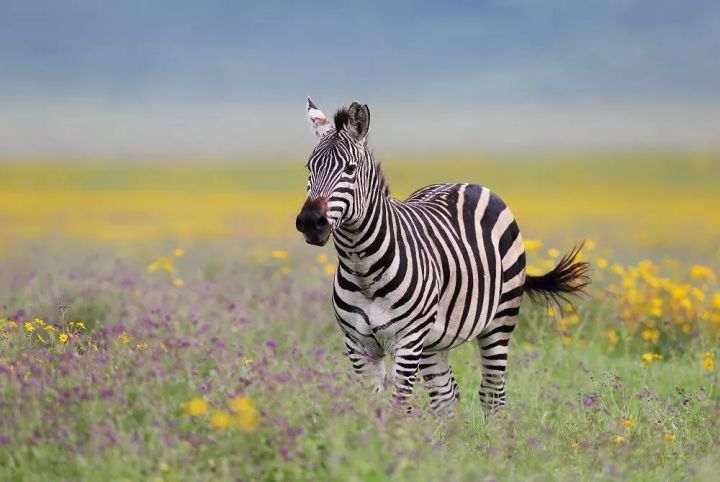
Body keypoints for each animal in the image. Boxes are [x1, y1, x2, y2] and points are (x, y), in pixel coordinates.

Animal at [296, 99, 588, 414]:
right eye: (309, 167)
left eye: (350, 169)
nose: (310, 222)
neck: (363, 269)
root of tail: (466, 183)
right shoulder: (358, 345)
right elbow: (371, 406)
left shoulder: (408, 342)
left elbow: (399, 406)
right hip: (435, 341)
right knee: (445, 396)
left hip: (500, 318)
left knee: (492, 393)